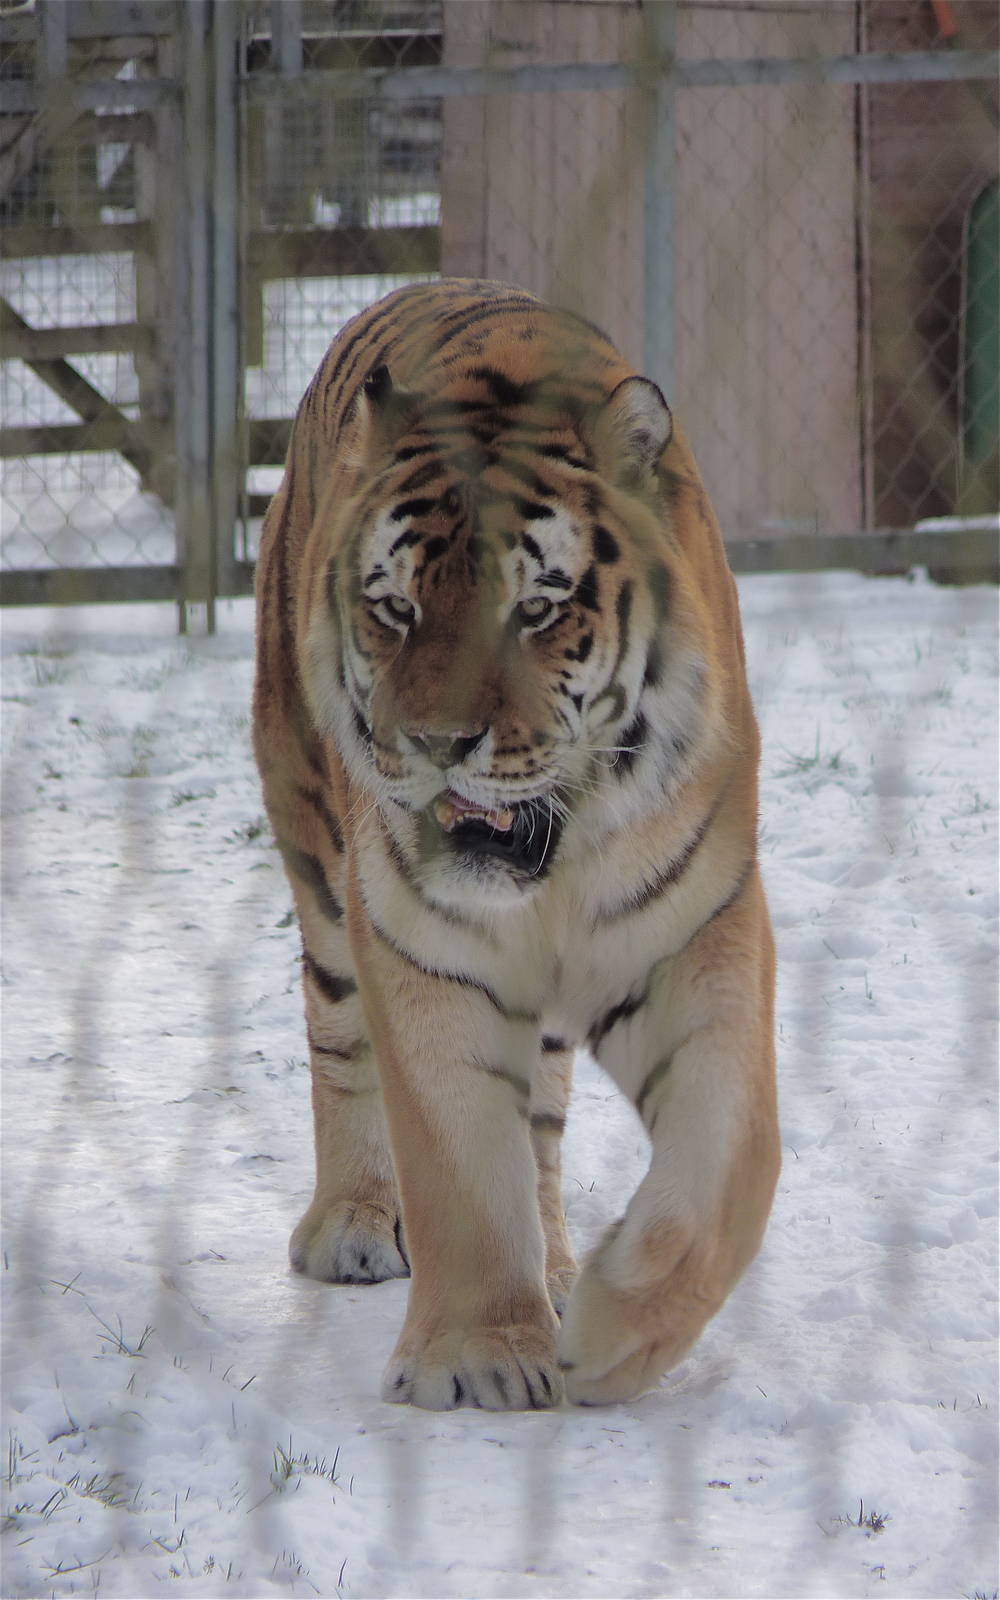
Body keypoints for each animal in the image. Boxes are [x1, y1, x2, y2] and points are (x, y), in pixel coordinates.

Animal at [252, 278, 779, 1410]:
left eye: (535, 608)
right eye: (394, 607)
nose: (434, 745)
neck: (561, 862)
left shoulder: (697, 929)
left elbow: (730, 1157)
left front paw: (613, 1330)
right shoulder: (424, 943)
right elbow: (457, 1155)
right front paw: (479, 1355)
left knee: (539, 1120)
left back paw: (564, 1268)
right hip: (316, 854)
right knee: (337, 1037)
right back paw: (353, 1225)